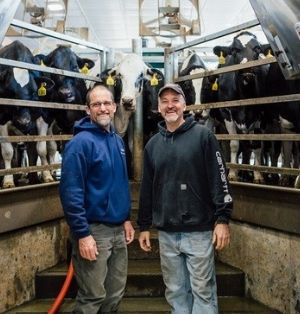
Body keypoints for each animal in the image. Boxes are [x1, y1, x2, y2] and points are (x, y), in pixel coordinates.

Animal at [0, 41, 55, 189]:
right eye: (11, 93)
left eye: (34, 92)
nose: (23, 122)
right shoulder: (1, 121)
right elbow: (7, 151)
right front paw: (8, 180)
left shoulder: (42, 118)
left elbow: (41, 149)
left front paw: (46, 175)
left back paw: (34, 176)